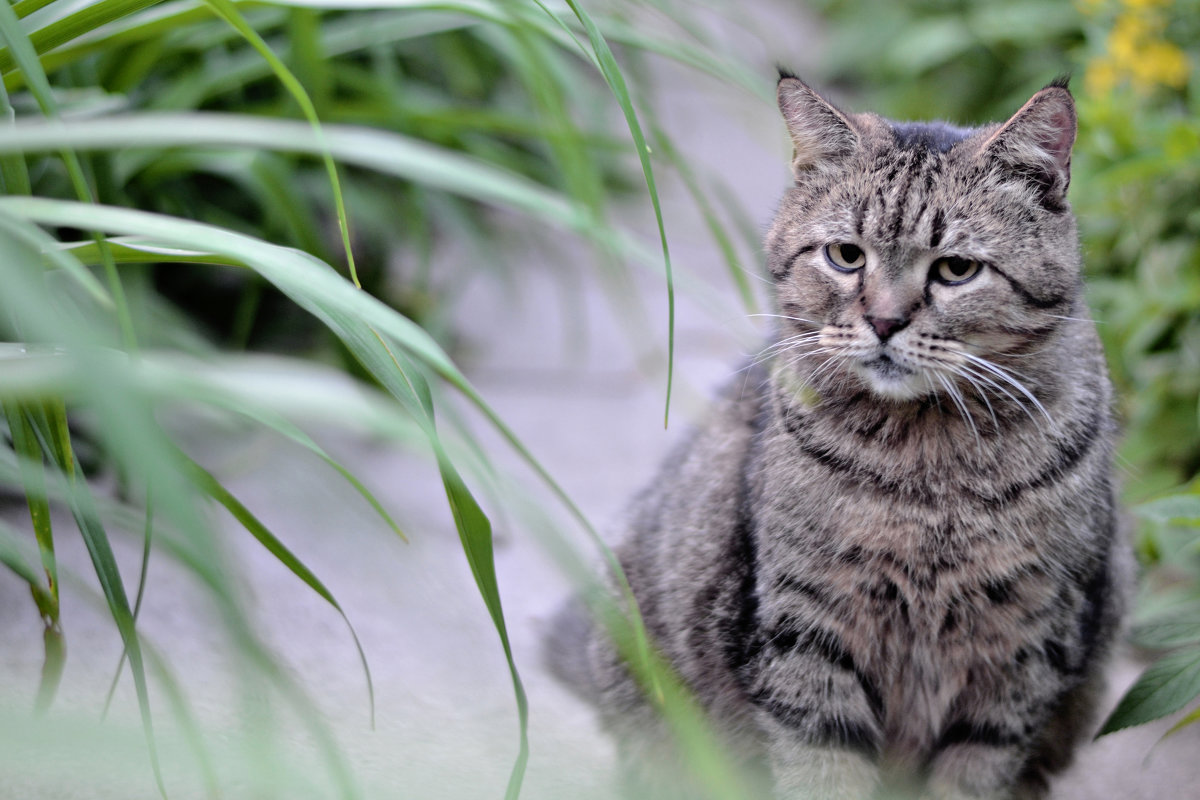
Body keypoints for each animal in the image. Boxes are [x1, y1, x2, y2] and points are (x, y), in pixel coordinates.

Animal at [549, 71, 1128, 796]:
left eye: (957, 269)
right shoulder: (807, 630)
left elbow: (972, 774)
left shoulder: (1026, 646)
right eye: (846, 256)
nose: (884, 321)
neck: (928, 471)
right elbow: (823, 768)